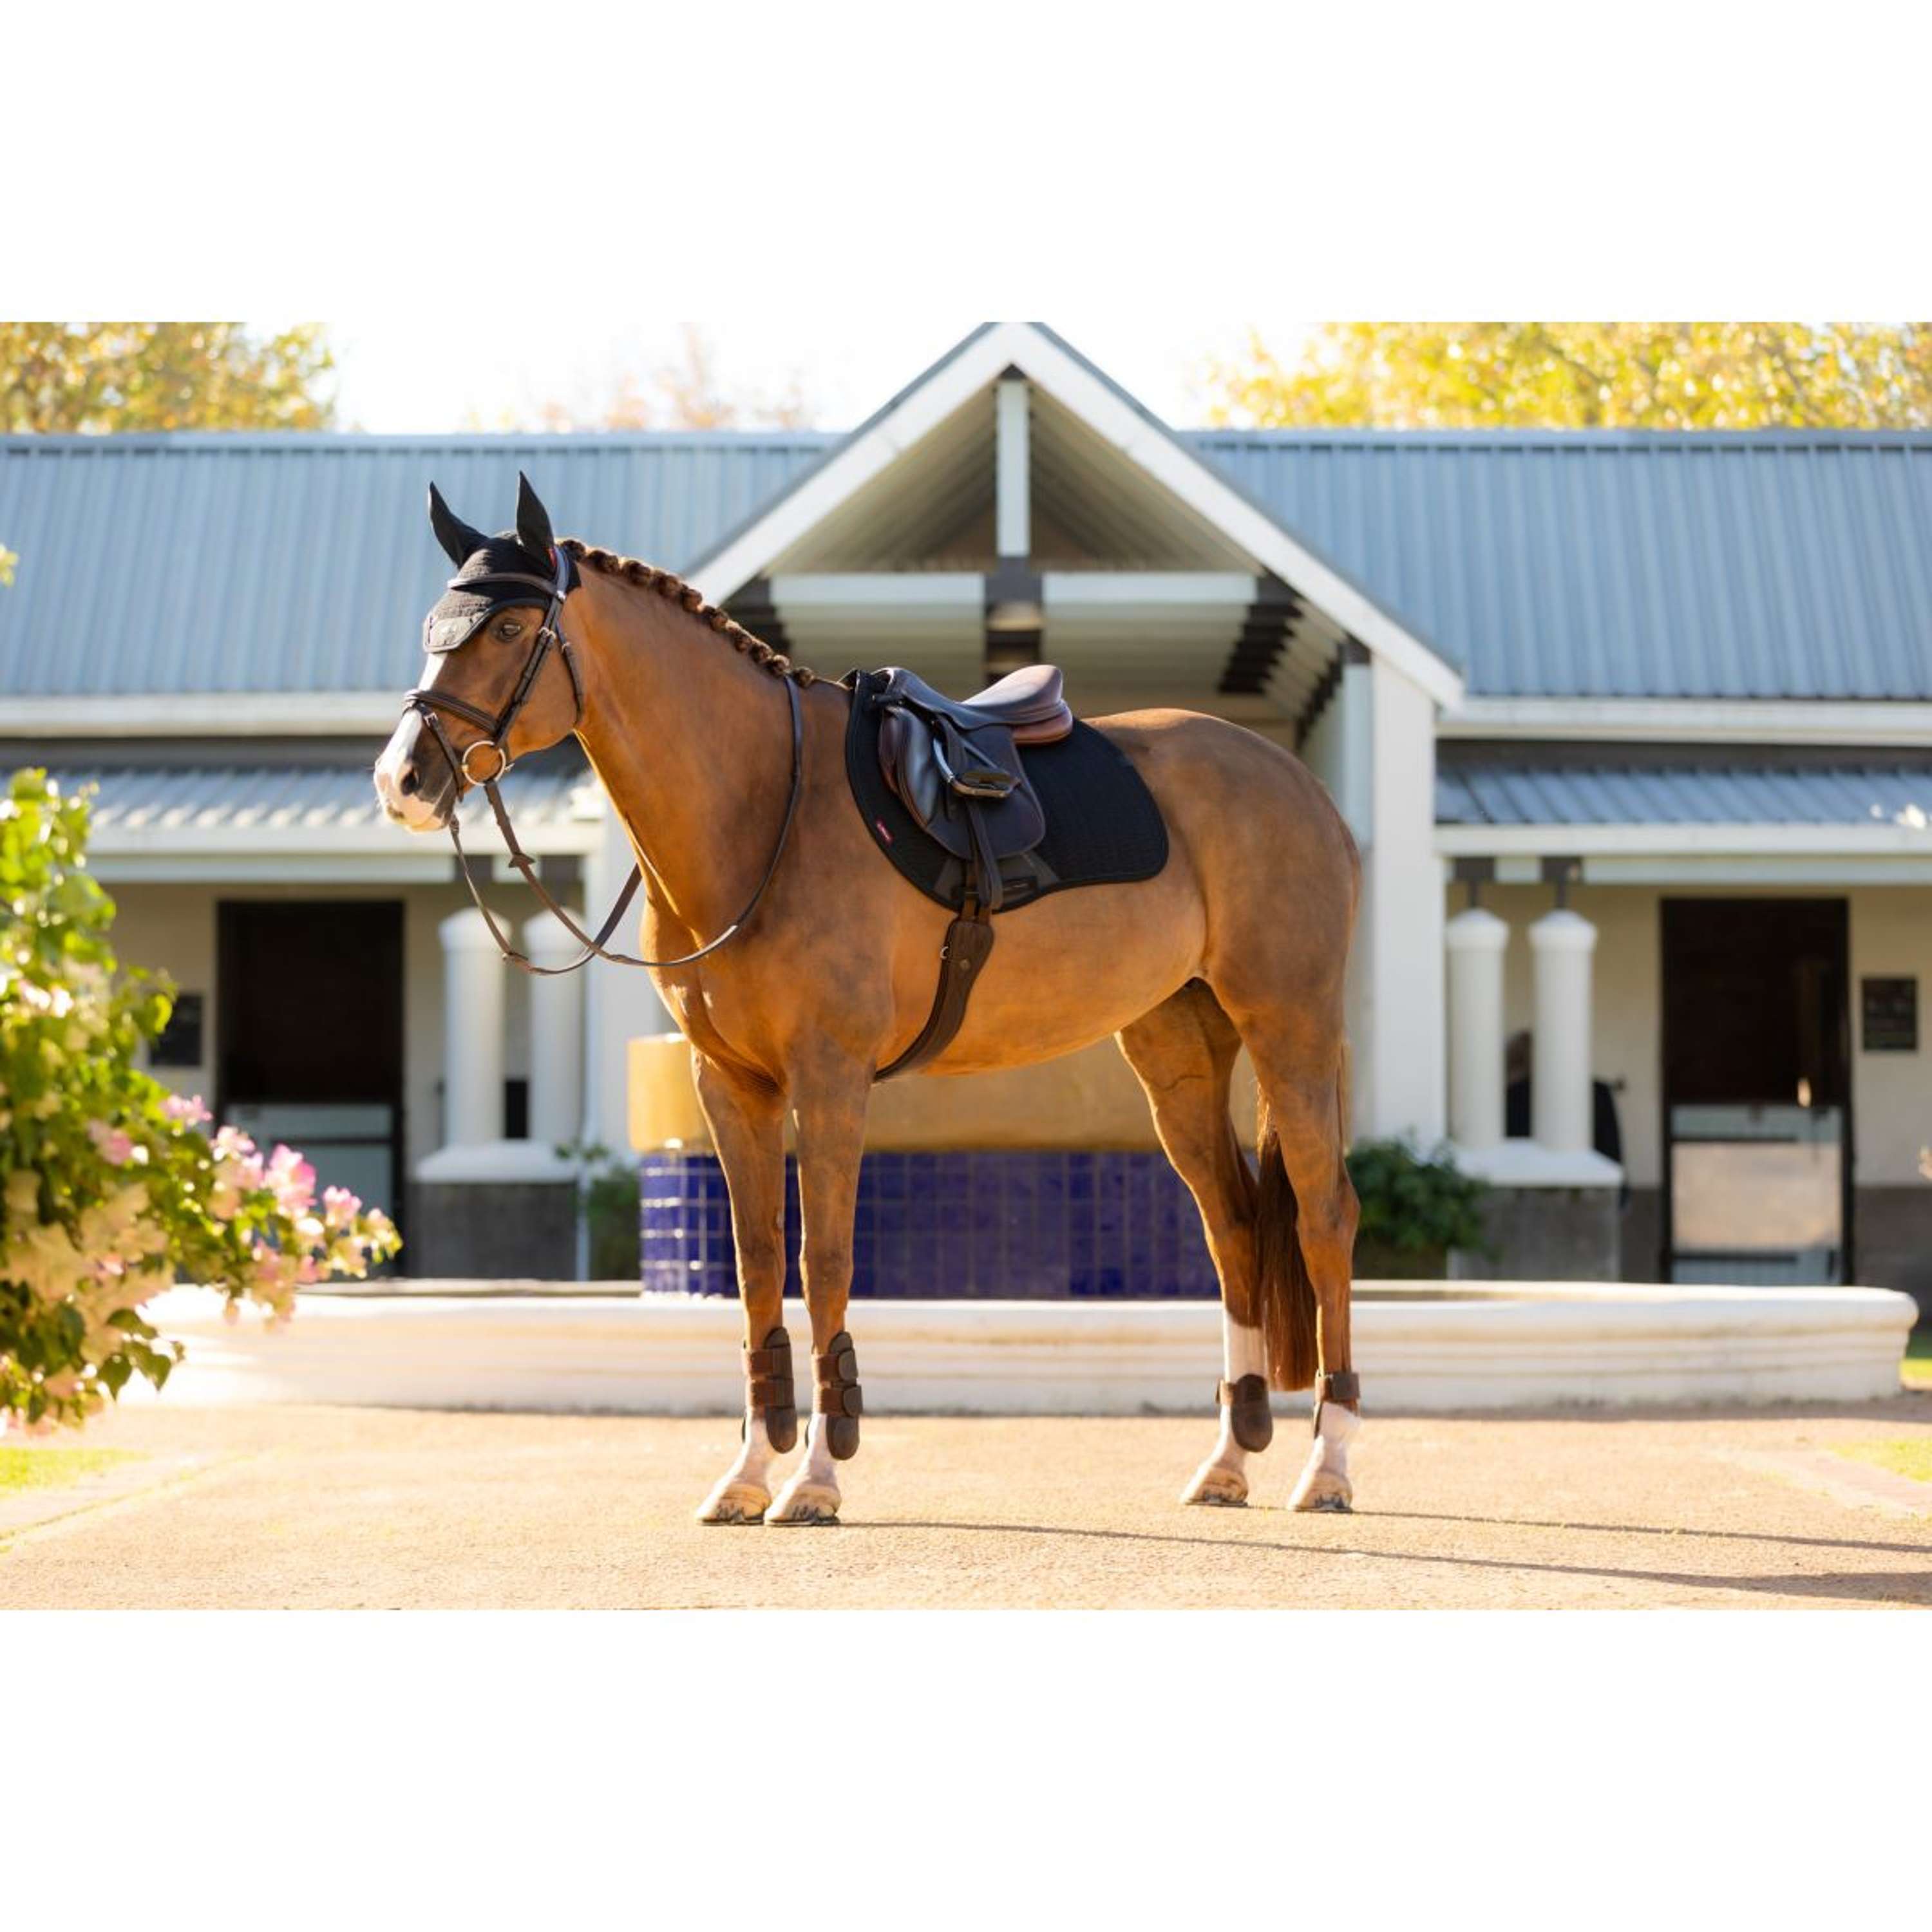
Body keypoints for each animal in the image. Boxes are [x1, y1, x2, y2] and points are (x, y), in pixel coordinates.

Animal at [374, 475, 1364, 1524]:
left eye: (512, 625)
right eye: (436, 626)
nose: (403, 779)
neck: (762, 808)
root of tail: (1301, 787)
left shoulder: (831, 1078)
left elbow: (826, 1263)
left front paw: (816, 1472)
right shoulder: (731, 1085)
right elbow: (759, 1264)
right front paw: (748, 1472)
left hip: (1289, 1029)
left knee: (1321, 1217)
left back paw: (1329, 1464)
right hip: (1178, 1052)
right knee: (1233, 1226)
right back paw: (1229, 1459)